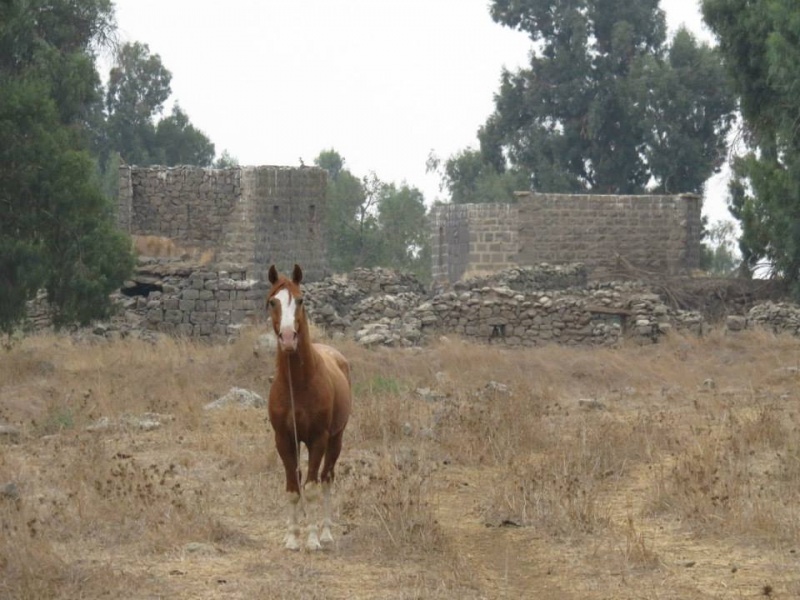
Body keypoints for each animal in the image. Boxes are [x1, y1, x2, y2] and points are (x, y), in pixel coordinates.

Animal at [266, 264, 350, 552]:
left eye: (300, 300)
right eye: (272, 301)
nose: (288, 338)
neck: (299, 383)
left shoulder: (318, 439)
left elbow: (312, 487)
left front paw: (312, 539)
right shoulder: (283, 439)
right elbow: (293, 488)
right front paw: (292, 538)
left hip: (336, 440)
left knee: (326, 478)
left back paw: (326, 533)